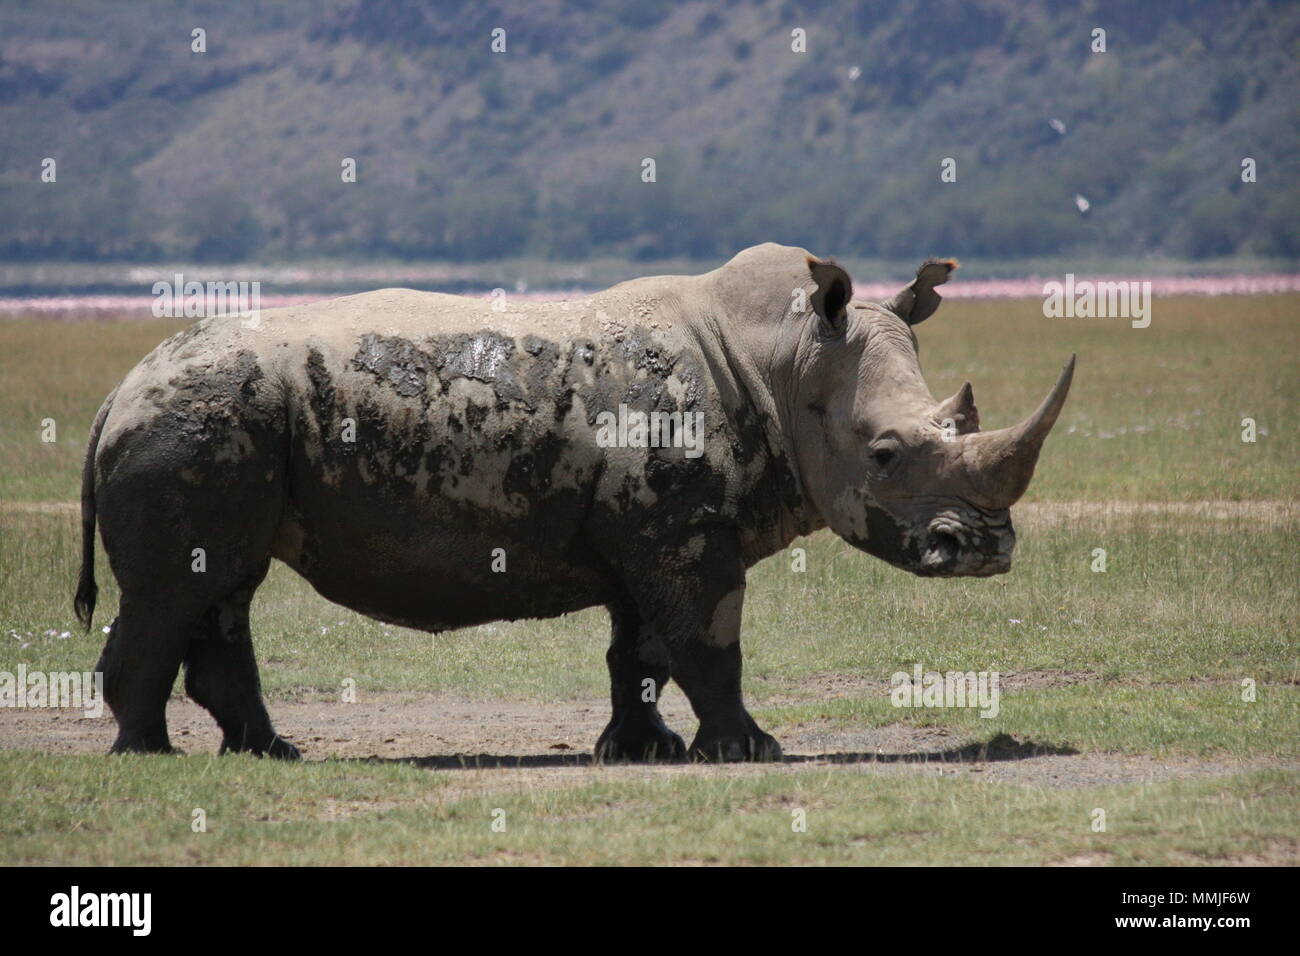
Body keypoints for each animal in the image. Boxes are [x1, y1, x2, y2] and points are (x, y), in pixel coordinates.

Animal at [75, 243, 1073, 762]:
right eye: (887, 453)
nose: (985, 549)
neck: (785, 359)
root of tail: (115, 391)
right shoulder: (683, 530)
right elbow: (710, 645)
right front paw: (752, 752)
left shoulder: (660, 523)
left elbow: (644, 651)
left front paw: (641, 752)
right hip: (194, 420)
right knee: (179, 589)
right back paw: (150, 757)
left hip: (225, 421)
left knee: (224, 585)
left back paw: (267, 754)